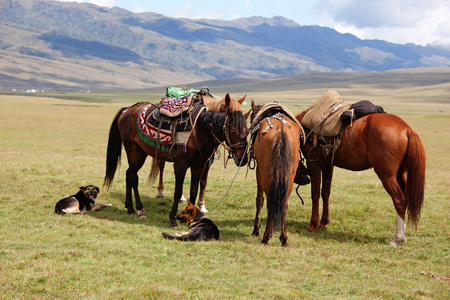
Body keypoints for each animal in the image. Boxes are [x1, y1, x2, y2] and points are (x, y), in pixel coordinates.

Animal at [103, 95, 248, 226]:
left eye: (247, 131)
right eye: (233, 131)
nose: (243, 159)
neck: (200, 131)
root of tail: (127, 110)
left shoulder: (198, 166)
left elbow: (193, 191)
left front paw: (191, 217)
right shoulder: (181, 165)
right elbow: (177, 192)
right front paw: (172, 219)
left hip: (140, 152)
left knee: (129, 174)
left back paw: (130, 208)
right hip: (134, 152)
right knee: (133, 177)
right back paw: (140, 209)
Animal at [248, 101, 304, 246]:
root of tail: (281, 129)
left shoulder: (259, 172)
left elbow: (259, 200)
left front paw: (256, 229)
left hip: (267, 173)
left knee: (270, 203)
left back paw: (265, 236)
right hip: (289, 176)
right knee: (283, 205)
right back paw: (283, 238)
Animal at [296, 109, 426, 246]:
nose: (305, 178)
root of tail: (406, 129)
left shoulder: (314, 164)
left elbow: (315, 194)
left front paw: (312, 224)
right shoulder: (328, 165)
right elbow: (325, 192)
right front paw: (323, 223)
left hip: (387, 176)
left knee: (399, 200)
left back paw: (398, 238)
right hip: (399, 174)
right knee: (406, 197)